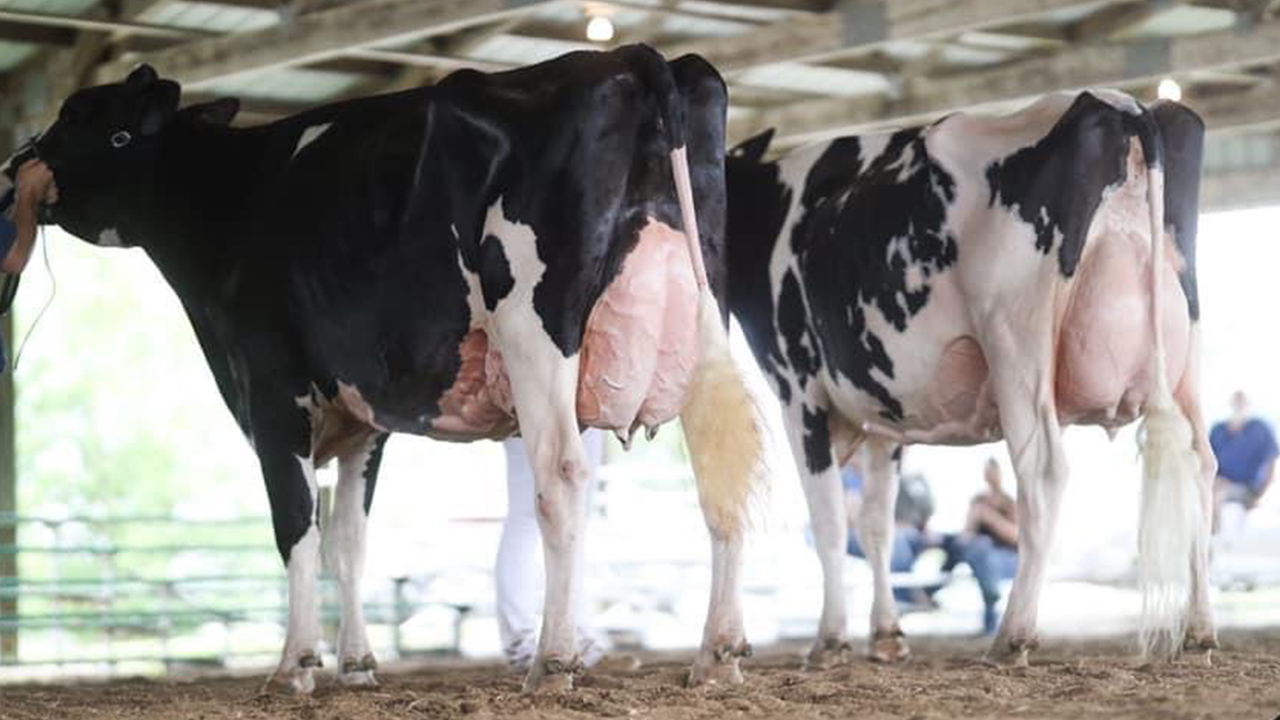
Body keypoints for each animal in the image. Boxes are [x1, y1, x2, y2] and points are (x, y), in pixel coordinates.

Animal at [5, 43, 762, 691]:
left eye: (89, 122)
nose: (15, 166)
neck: (231, 202)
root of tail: (631, 55)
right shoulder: (361, 419)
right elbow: (350, 540)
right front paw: (358, 663)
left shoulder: (274, 391)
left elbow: (297, 527)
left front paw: (295, 665)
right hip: (707, 311)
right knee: (719, 475)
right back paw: (717, 653)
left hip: (534, 327)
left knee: (563, 475)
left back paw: (553, 661)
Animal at [727, 92, 1213, 666]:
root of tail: (1122, 103)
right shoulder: (883, 413)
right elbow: (877, 525)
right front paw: (886, 635)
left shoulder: (798, 389)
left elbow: (829, 523)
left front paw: (830, 640)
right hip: (1186, 355)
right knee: (1200, 467)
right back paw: (1200, 628)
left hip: (1015, 342)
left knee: (1043, 472)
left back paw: (1012, 635)